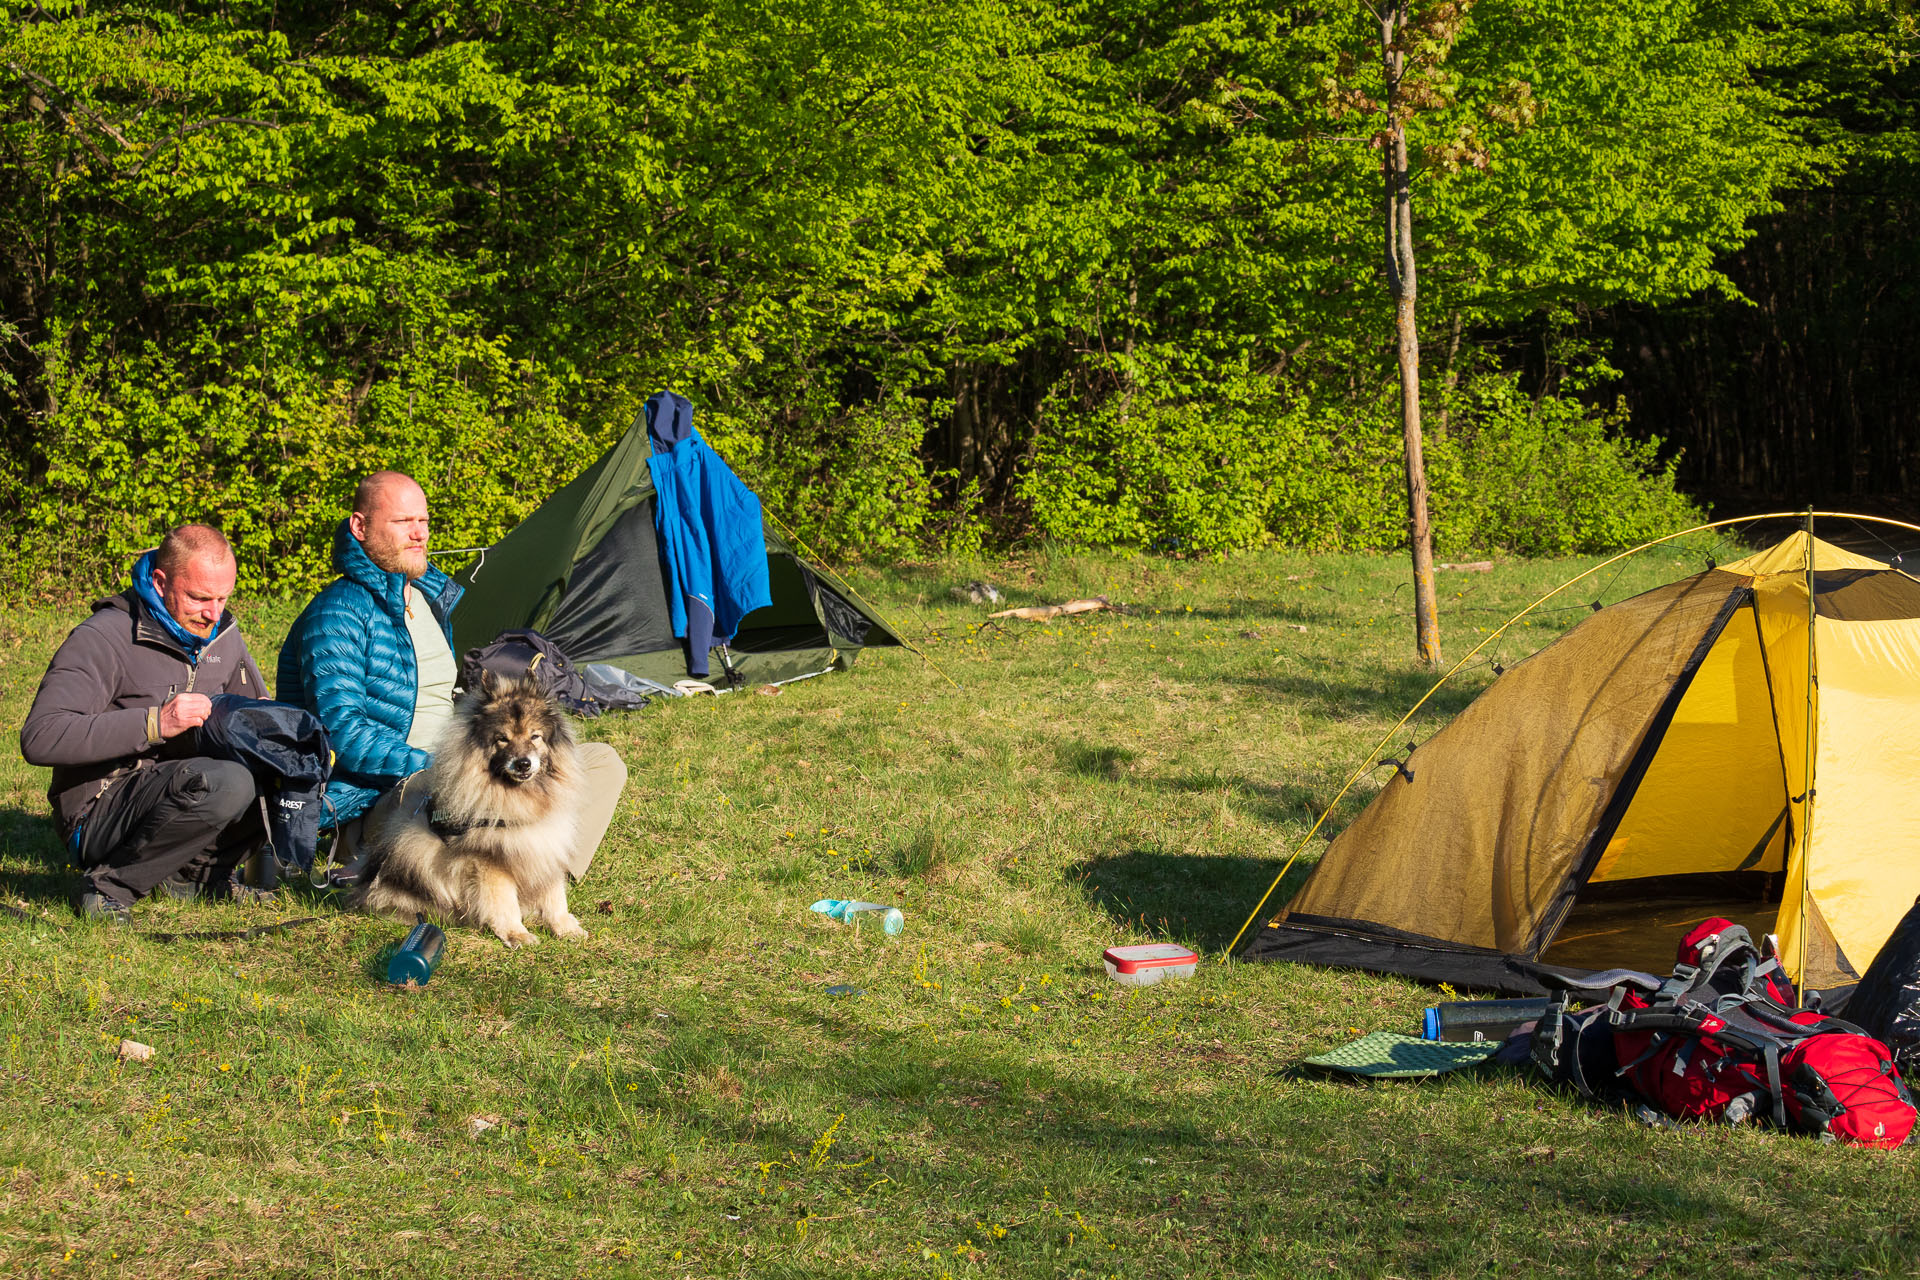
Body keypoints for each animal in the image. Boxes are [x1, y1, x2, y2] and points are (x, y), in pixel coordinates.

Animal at [355, 675, 587, 948]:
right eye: (502, 738)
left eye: (535, 736)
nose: (523, 763)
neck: (520, 800)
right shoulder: (489, 862)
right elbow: (504, 903)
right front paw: (516, 934)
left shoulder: (546, 847)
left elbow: (555, 896)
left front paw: (565, 928)